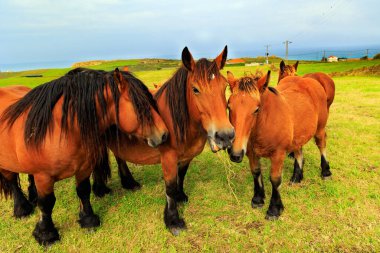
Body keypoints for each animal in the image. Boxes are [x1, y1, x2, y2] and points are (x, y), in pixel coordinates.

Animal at [0, 68, 167, 245]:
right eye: (140, 105)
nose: (164, 134)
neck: (61, 129)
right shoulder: (43, 177)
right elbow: (46, 203)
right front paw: (46, 234)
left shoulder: (84, 167)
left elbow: (83, 191)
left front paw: (88, 220)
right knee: (12, 182)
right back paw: (22, 209)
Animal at [91, 46, 235, 235]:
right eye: (195, 89)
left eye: (225, 86)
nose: (225, 136)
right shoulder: (168, 158)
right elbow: (170, 186)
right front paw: (173, 220)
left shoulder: (186, 157)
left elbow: (180, 177)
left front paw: (180, 197)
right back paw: (100, 189)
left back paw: (129, 183)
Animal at [227, 70, 332, 219]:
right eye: (229, 106)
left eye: (256, 109)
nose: (235, 154)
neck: (265, 122)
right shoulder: (251, 153)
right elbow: (256, 172)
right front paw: (258, 199)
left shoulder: (278, 154)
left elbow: (275, 179)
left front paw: (274, 209)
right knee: (298, 150)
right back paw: (297, 177)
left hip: (320, 129)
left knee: (321, 145)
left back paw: (326, 172)